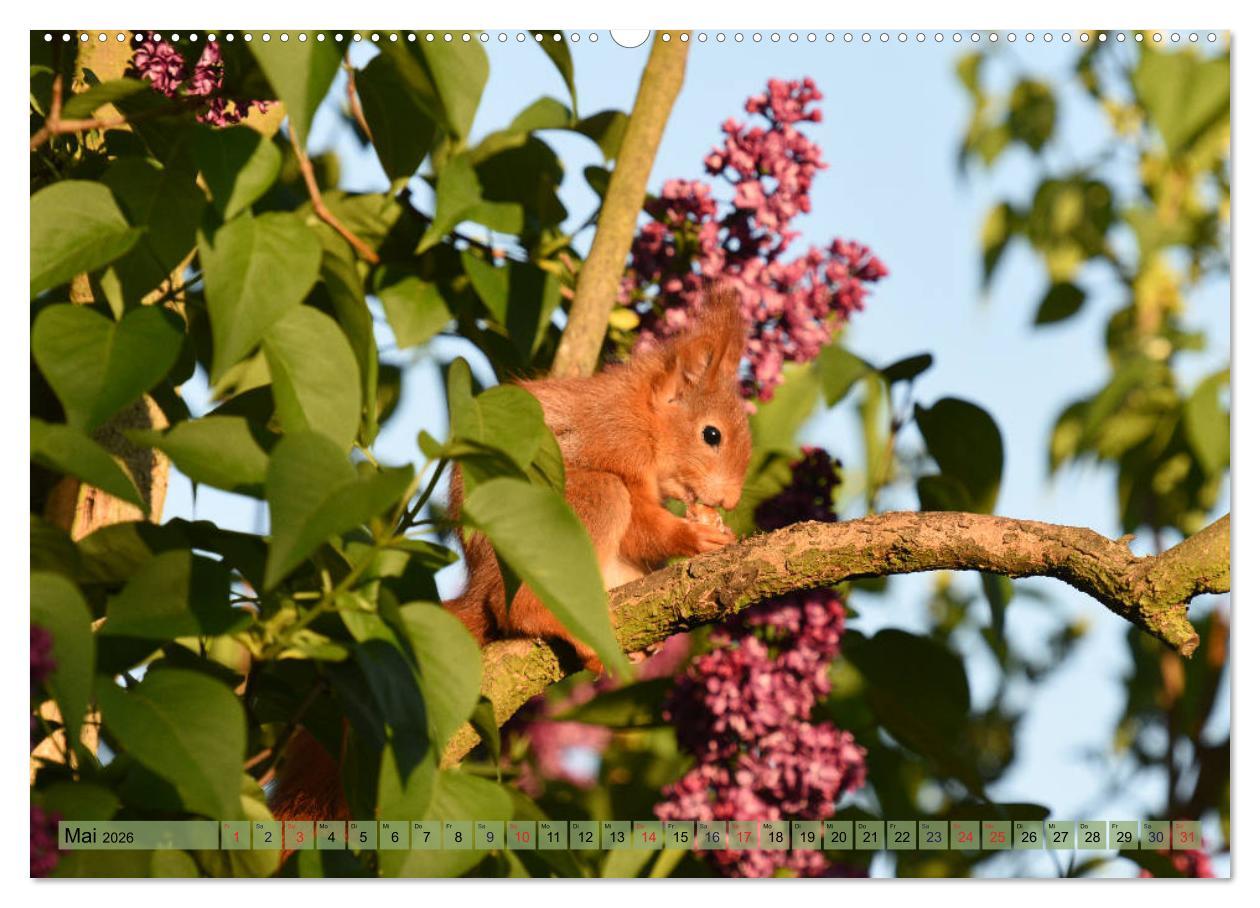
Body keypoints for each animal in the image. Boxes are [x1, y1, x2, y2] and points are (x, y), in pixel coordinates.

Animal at [269, 289, 752, 825]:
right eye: (712, 435)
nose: (730, 499)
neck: (643, 415)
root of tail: (481, 582)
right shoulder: (613, 446)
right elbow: (643, 523)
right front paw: (694, 535)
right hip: (577, 507)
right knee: (514, 607)